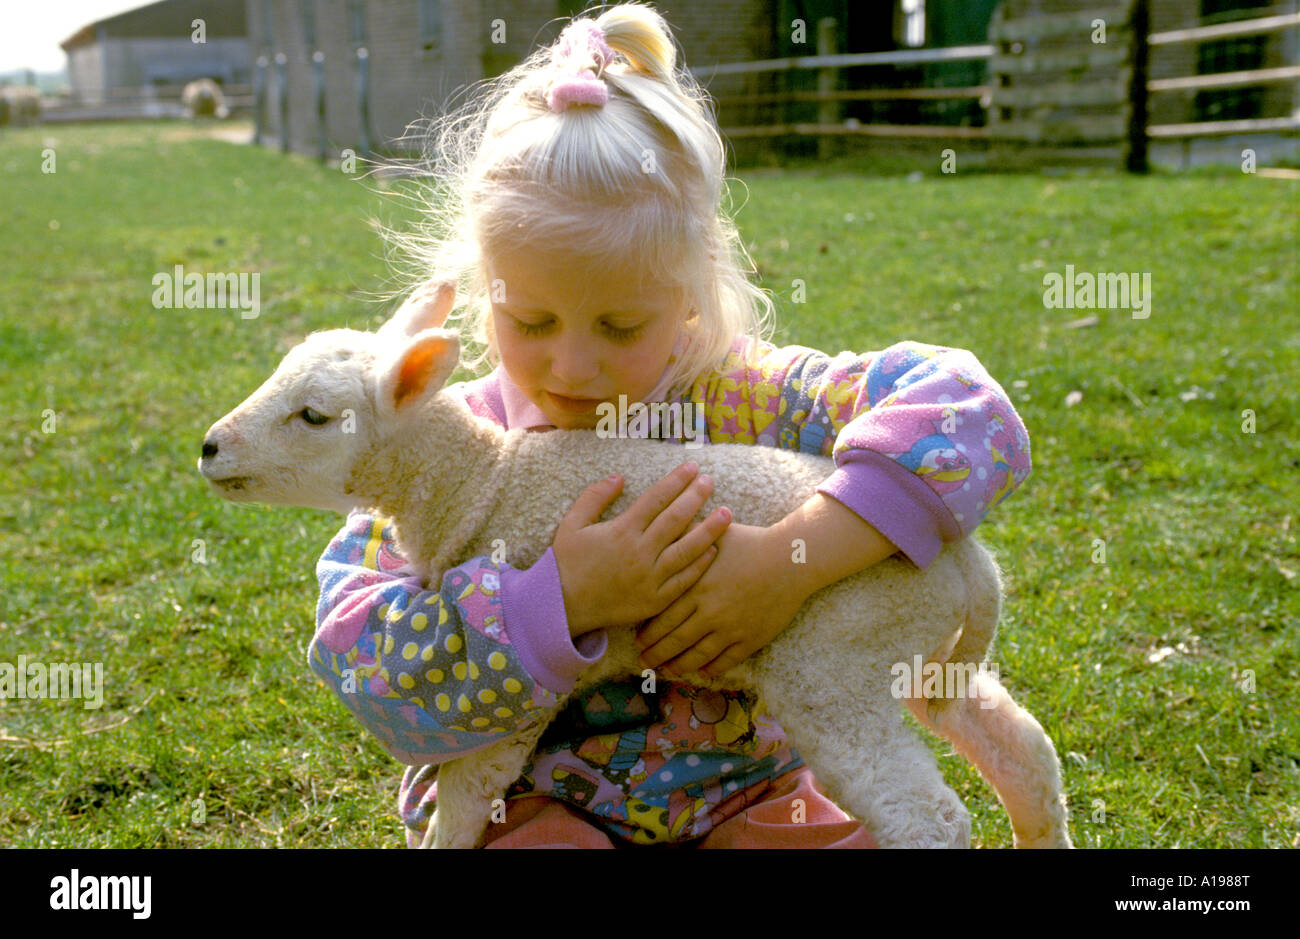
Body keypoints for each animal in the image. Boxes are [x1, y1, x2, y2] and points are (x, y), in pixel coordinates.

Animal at [198, 284, 1072, 849]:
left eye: (314, 415)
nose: (209, 446)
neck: (481, 482)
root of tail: (967, 559)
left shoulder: (514, 710)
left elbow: (464, 802)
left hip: (834, 660)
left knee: (930, 817)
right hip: (918, 654)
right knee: (1024, 751)